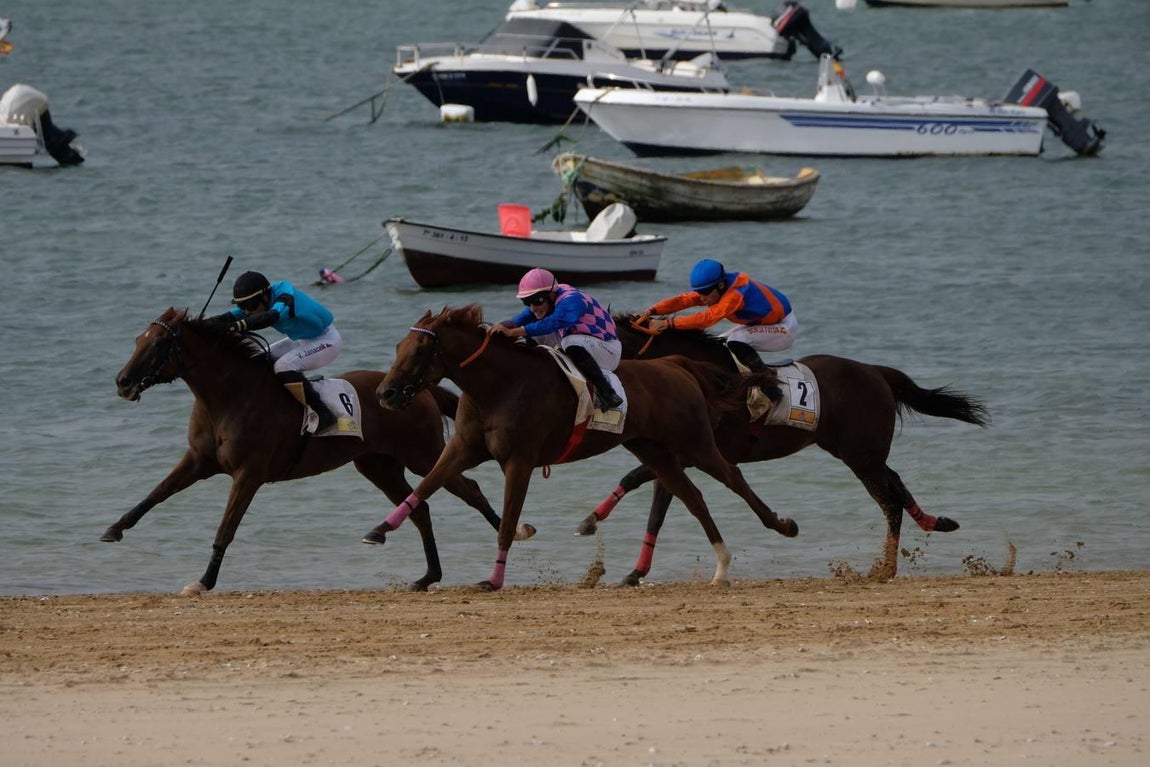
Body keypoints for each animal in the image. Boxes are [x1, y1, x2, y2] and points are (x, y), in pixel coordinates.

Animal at [107, 307, 531, 595]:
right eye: (137, 340)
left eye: (158, 343)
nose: (123, 381)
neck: (229, 396)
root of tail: (419, 390)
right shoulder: (198, 460)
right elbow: (157, 493)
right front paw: (115, 528)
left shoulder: (248, 474)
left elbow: (226, 528)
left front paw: (204, 580)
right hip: (378, 466)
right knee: (419, 507)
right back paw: (428, 576)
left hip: (423, 454)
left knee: (468, 490)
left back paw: (515, 534)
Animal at [370, 304, 798, 590]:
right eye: (398, 346)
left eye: (420, 351)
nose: (385, 393)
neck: (500, 385)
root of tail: (676, 363)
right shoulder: (462, 448)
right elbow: (428, 485)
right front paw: (379, 529)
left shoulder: (519, 461)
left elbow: (507, 523)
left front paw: (493, 578)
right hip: (653, 449)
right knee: (691, 496)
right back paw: (721, 565)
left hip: (693, 443)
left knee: (733, 478)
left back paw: (780, 526)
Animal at [582, 314, 990, 580]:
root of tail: (875, 371)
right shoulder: (678, 455)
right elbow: (655, 506)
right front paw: (630, 566)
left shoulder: (692, 452)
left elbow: (641, 482)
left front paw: (597, 522)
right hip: (860, 453)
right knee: (897, 484)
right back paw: (934, 523)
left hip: (861, 457)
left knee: (889, 500)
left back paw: (886, 567)